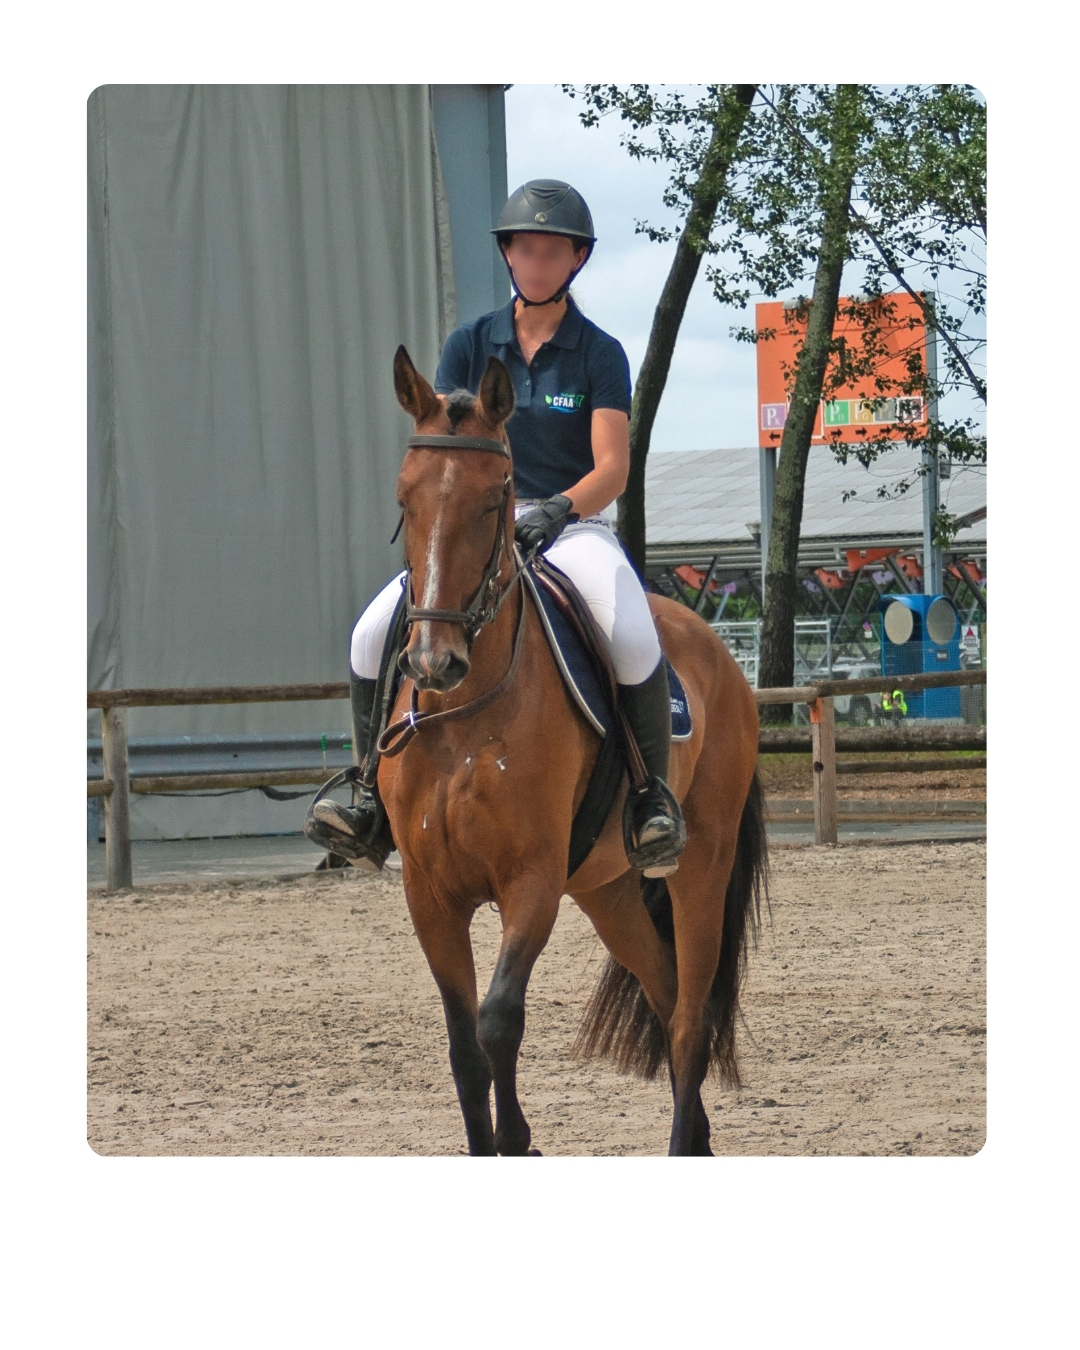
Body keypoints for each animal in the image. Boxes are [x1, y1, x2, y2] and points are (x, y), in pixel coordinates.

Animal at [374, 345, 767, 1156]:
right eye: (405, 497)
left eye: (495, 502)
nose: (432, 663)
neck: (463, 715)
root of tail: (715, 646)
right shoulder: (429, 892)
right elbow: (464, 1048)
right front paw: (493, 1141)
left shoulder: (533, 880)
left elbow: (498, 1020)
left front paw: (519, 1139)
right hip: (606, 887)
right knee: (665, 990)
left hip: (700, 865)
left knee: (689, 1016)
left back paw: (683, 1145)